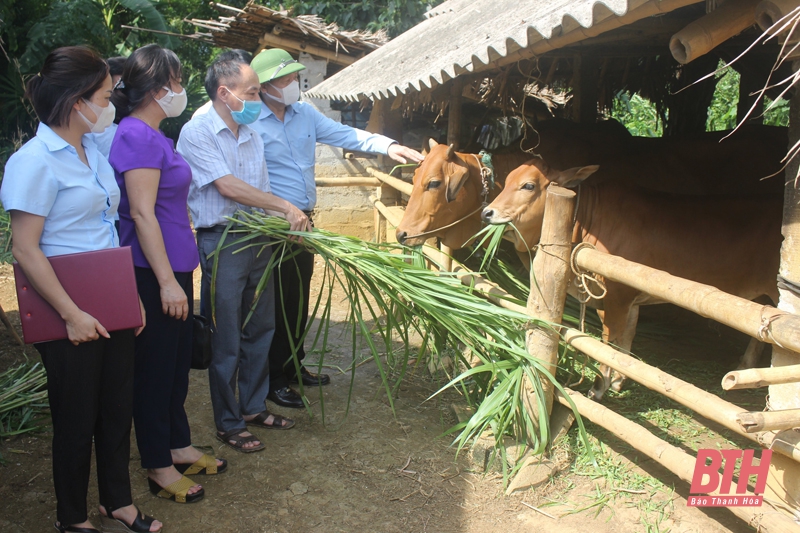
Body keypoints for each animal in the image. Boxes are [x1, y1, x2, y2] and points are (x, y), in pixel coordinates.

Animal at [482, 158, 780, 400]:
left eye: (529, 185)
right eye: (507, 181)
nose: (487, 212)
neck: (588, 220)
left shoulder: (616, 297)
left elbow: (609, 342)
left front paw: (599, 386)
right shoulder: (631, 301)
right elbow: (626, 339)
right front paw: (618, 381)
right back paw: (745, 366)